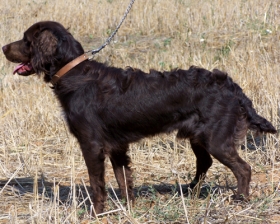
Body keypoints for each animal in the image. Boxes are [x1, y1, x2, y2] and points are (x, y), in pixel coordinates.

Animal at [1, 21, 276, 215]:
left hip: (216, 139)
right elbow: (123, 179)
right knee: (205, 162)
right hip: (199, 137)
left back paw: (240, 198)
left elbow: (96, 183)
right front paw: (129, 206)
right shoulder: (117, 146)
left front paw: (95, 213)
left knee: (243, 168)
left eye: (26, 40)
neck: (75, 74)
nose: (3, 48)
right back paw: (190, 190)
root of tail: (232, 87)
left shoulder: (91, 145)